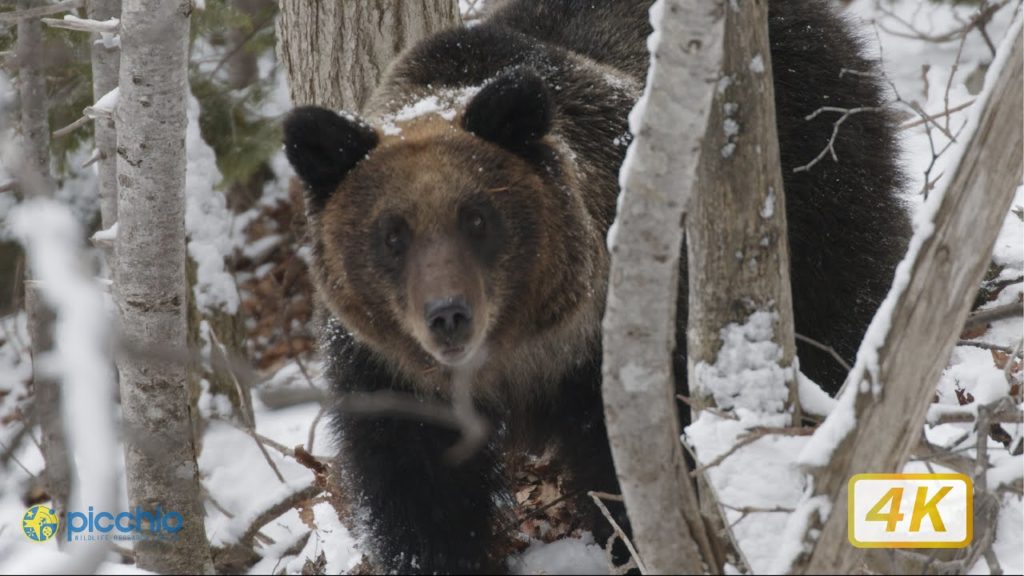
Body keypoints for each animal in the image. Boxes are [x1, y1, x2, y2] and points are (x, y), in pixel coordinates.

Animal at [281, 0, 911, 572]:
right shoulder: (391, 377)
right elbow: (419, 495)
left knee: (849, 285)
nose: (449, 315)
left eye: (477, 217)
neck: (517, 358)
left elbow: (636, 470)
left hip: (812, 157)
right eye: (392, 234)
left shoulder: (611, 355)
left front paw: (635, 544)